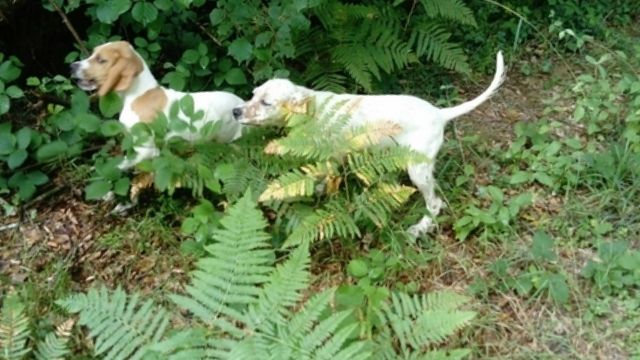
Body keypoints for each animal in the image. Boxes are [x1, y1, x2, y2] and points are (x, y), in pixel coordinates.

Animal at [70, 40, 245, 169]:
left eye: (101, 60)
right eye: (92, 53)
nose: (71, 66)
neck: (139, 95)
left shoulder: (146, 151)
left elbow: (117, 167)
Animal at [232, 51, 508, 236]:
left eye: (266, 102)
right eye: (253, 94)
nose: (235, 111)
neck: (313, 109)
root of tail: (439, 113)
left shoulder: (332, 157)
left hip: (418, 169)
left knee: (435, 203)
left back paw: (420, 228)